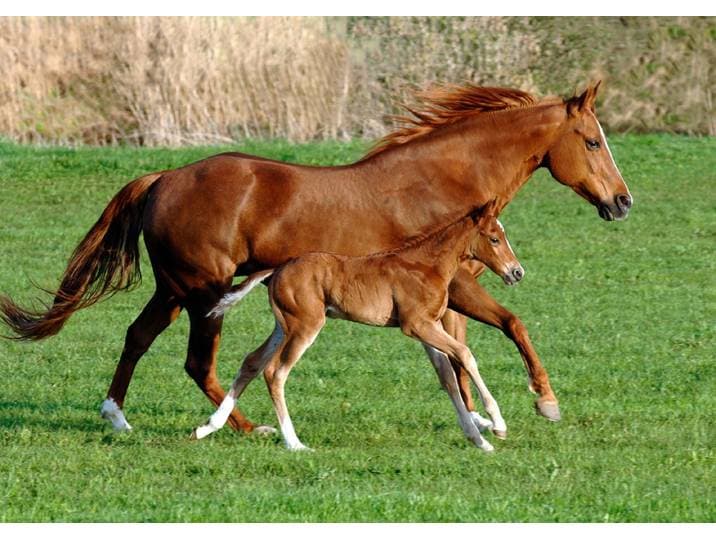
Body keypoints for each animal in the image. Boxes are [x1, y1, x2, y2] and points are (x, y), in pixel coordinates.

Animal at [193, 200, 522, 451]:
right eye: (494, 238)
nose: (517, 272)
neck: (428, 265)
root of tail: (278, 269)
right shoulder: (416, 325)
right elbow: (465, 355)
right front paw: (497, 424)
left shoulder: (429, 328)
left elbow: (448, 378)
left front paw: (479, 440)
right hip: (306, 325)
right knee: (275, 372)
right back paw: (294, 443)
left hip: (283, 325)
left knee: (252, 362)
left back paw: (207, 427)